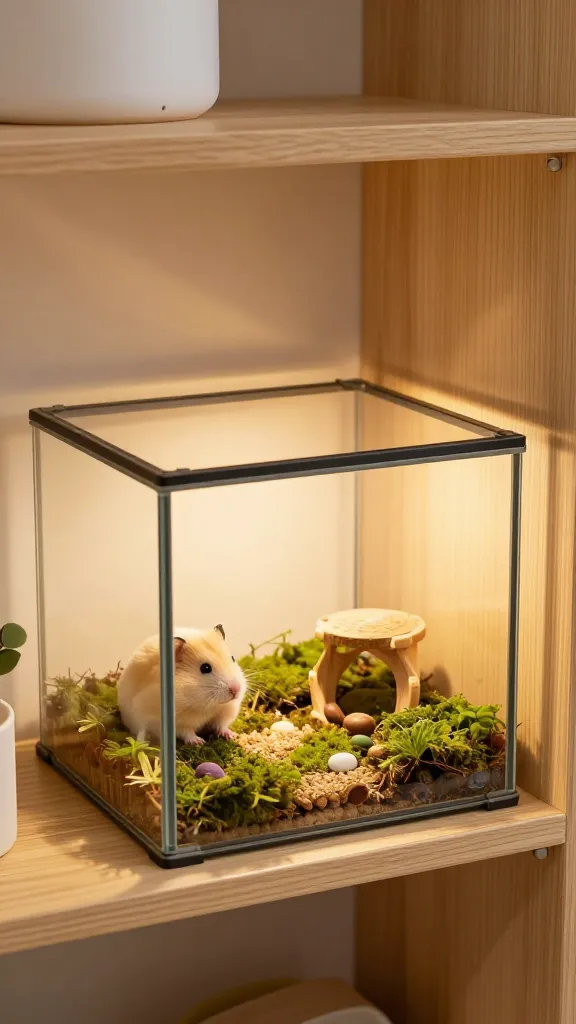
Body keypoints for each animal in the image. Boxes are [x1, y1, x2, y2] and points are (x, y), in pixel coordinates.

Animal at [117, 624, 246, 746]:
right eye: (205, 668)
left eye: (233, 658)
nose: (236, 690)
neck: (207, 705)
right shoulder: (177, 722)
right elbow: (187, 732)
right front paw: (198, 742)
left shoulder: (226, 711)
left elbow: (222, 725)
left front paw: (232, 735)